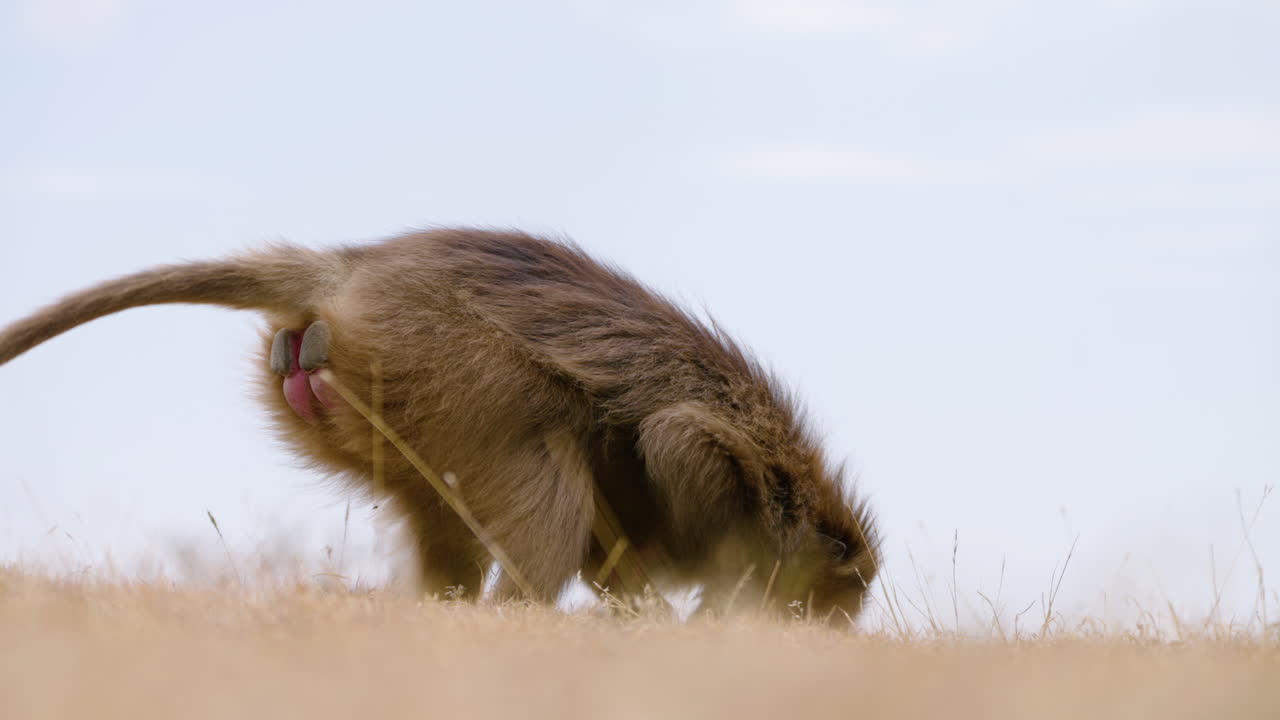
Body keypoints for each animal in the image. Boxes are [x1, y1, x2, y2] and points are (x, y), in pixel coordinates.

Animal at [0, 229, 880, 622]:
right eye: (828, 602)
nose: (824, 630)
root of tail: (352, 270)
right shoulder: (736, 465)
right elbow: (674, 442)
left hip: (359, 394)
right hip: (435, 355)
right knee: (544, 452)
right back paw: (513, 619)